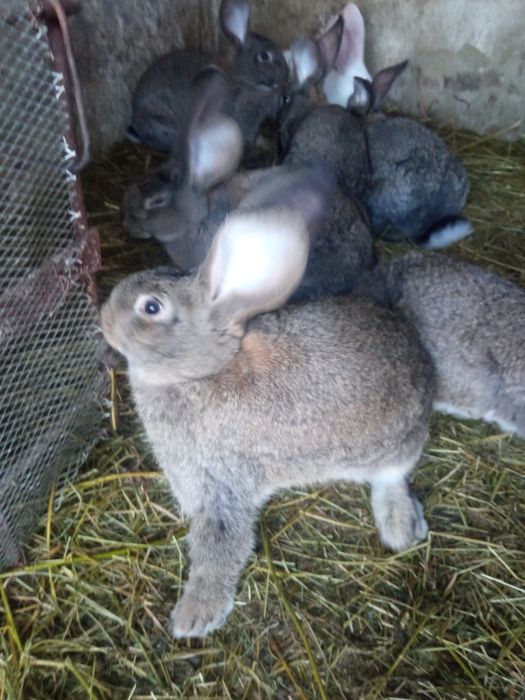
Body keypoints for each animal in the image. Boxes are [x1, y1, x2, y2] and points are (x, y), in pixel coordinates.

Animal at [102, 164, 433, 638]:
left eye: (151, 307)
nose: (104, 318)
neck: (201, 375)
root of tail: (420, 356)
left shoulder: (222, 484)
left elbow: (221, 547)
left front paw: (192, 618)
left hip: (394, 444)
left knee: (393, 476)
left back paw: (400, 525)